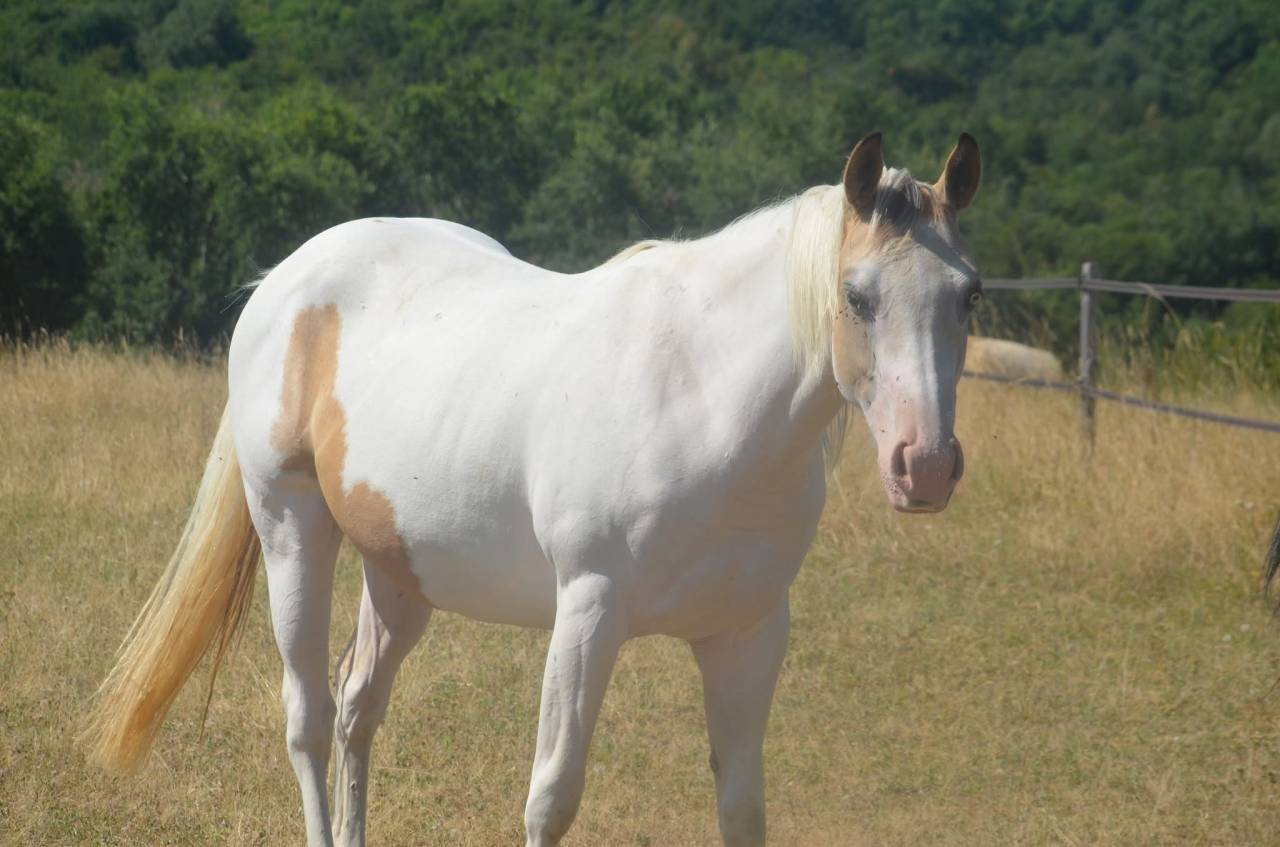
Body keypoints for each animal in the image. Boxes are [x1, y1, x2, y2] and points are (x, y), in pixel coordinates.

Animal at [85, 132, 983, 846]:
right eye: (857, 296)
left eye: (969, 295)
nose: (926, 466)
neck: (700, 396)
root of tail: (285, 279)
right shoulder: (587, 612)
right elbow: (552, 797)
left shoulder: (749, 634)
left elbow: (742, 808)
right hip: (292, 529)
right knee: (306, 719)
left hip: (400, 573)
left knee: (356, 707)